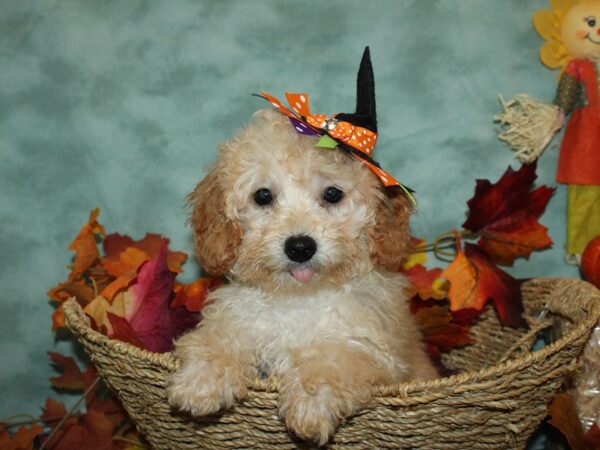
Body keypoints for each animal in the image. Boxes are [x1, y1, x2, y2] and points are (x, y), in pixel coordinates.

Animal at [166, 107, 438, 444]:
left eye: (333, 194)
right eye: (263, 195)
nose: (299, 247)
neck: (297, 298)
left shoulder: (372, 346)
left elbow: (337, 358)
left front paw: (311, 403)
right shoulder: (238, 317)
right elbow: (220, 335)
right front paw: (201, 378)